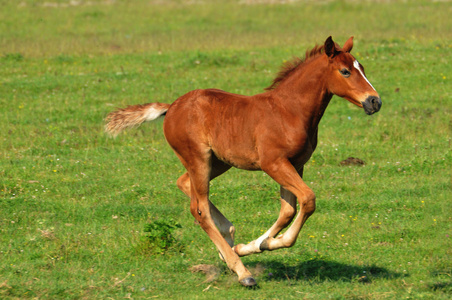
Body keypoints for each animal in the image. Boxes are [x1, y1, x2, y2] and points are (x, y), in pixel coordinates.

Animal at [105, 36, 382, 288]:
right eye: (345, 71)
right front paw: (257, 246)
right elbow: (307, 200)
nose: (374, 101)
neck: (289, 110)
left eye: (363, 68)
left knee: (184, 184)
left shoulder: (296, 164)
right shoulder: (274, 163)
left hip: (217, 162)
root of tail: (172, 106)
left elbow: (288, 210)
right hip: (198, 158)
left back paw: (228, 240)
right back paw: (242, 272)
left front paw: (256, 244)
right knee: (199, 209)